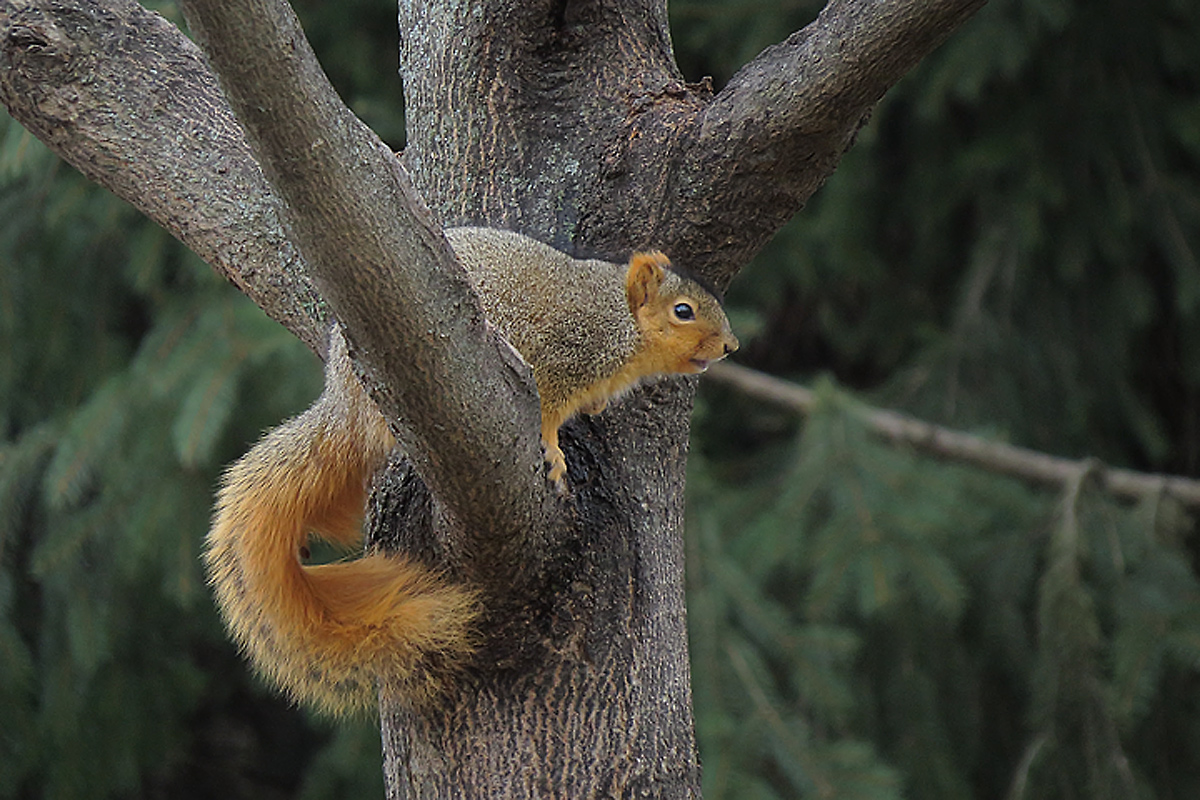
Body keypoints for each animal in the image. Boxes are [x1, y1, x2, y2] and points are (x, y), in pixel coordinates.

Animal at [204, 227, 739, 715]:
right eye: (683, 311)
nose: (731, 346)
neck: (619, 321)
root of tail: (343, 403)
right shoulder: (560, 353)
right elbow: (547, 410)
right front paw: (553, 451)